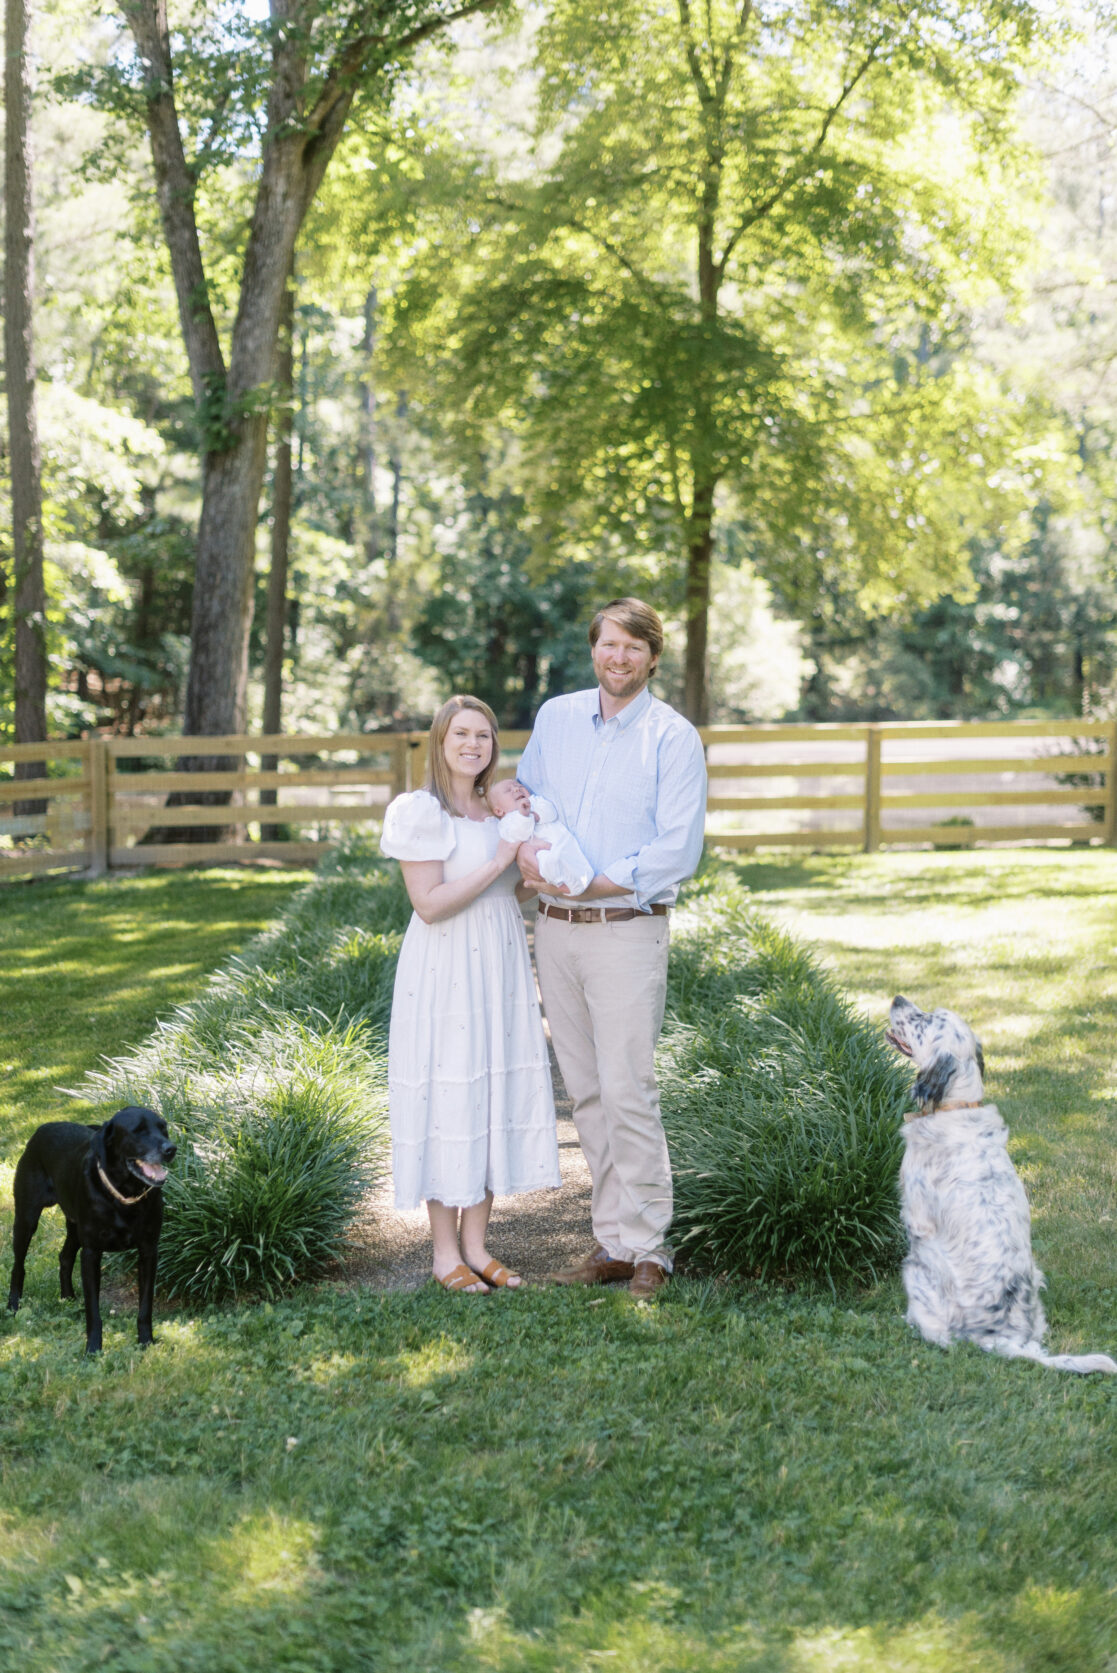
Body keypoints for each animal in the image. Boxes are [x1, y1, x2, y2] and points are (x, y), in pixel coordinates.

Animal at [7, 1104, 174, 1351]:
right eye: (139, 1130)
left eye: (163, 1128)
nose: (171, 1149)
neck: (124, 1193)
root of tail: (42, 1128)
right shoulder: (91, 1253)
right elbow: (93, 1311)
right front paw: (93, 1348)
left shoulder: (149, 1251)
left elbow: (145, 1307)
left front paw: (146, 1341)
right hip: (26, 1219)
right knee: (18, 1265)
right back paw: (13, 1305)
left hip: (74, 1227)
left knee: (64, 1257)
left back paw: (67, 1298)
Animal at [882, 990, 1110, 1371]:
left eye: (926, 1020)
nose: (898, 998)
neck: (957, 1107)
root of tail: (1008, 1339)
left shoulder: (916, 1220)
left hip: (915, 1268)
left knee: (939, 1335)